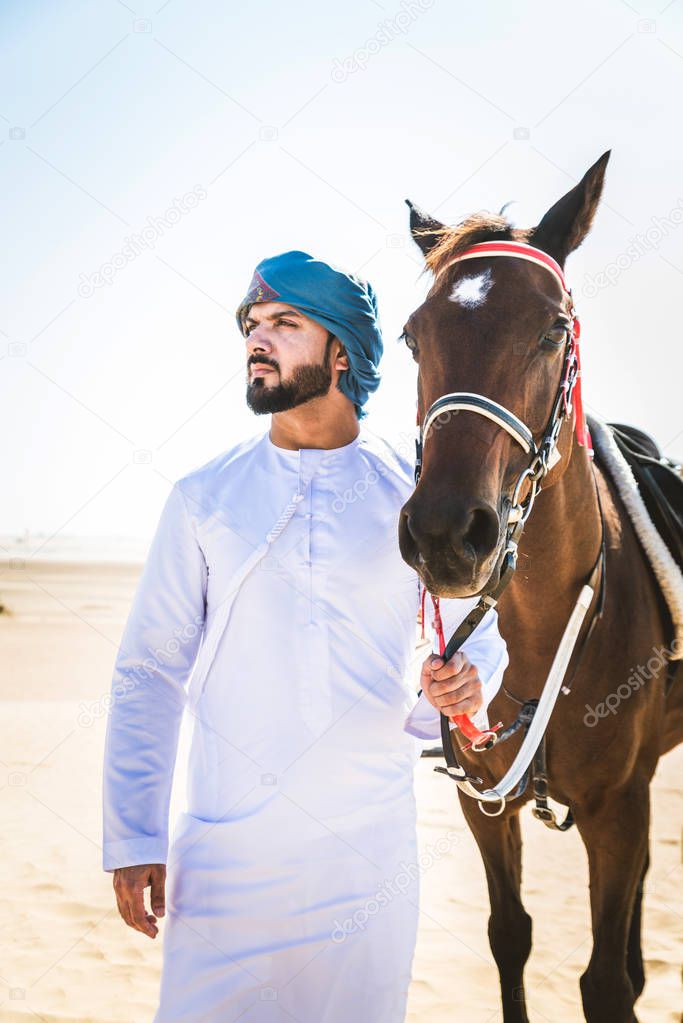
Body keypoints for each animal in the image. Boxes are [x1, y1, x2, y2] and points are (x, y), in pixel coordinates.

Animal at [396, 153, 678, 1023]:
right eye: (411, 334)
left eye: (553, 328)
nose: (445, 533)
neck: (549, 626)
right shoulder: (483, 800)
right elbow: (509, 937)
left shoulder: (618, 808)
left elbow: (605, 984)